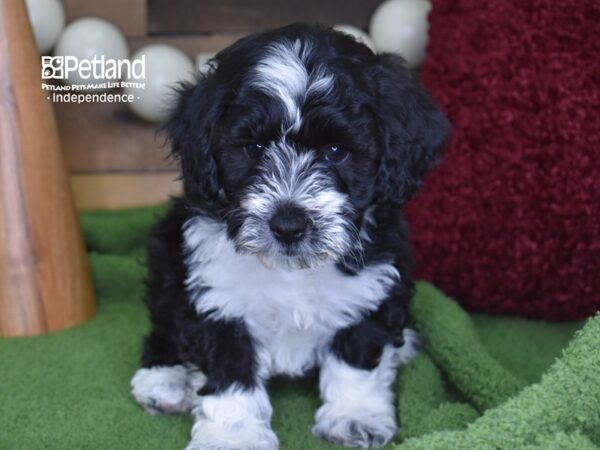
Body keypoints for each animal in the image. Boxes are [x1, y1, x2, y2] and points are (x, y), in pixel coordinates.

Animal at [131, 23, 450, 450]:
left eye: (336, 150)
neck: (292, 269)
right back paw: (164, 378)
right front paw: (234, 435)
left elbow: (356, 356)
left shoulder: (372, 286)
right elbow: (230, 373)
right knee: (166, 321)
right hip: (167, 255)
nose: (287, 224)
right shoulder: (217, 297)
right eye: (253, 147)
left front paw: (355, 416)